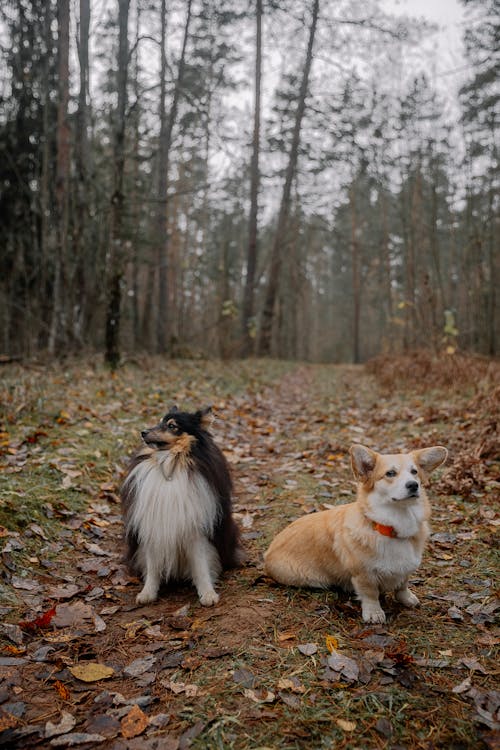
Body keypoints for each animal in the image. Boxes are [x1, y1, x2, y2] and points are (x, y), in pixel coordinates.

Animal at [121, 408, 242, 608]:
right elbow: (152, 566)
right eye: (159, 421)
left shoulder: (196, 530)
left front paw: (208, 594)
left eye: (172, 425)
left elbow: (201, 566)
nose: (143, 432)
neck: (171, 464)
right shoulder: (153, 527)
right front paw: (147, 593)